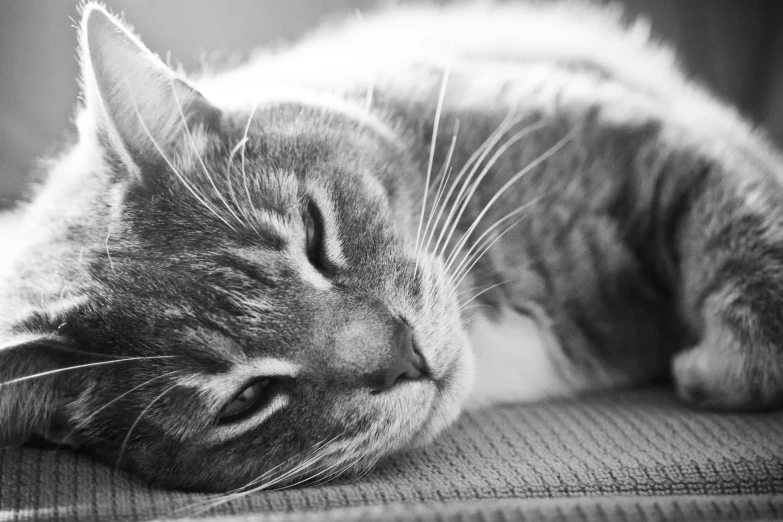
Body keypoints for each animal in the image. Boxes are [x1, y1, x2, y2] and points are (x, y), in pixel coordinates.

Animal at [1, 1, 783, 492]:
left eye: (314, 233)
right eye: (246, 399)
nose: (406, 353)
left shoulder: (647, 134)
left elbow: (748, 233)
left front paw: (716, 364)